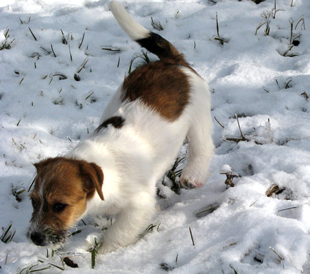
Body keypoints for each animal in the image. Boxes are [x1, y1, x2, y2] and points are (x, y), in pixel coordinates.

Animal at [27, 1, 214, 255]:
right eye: (34, 202)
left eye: (59, 206)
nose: (35, 238)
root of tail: (172, 62)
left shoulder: (138, 205)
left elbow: (118, 233)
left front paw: (103, 253)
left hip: (199, 116)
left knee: (202, 147)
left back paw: (193, 175)